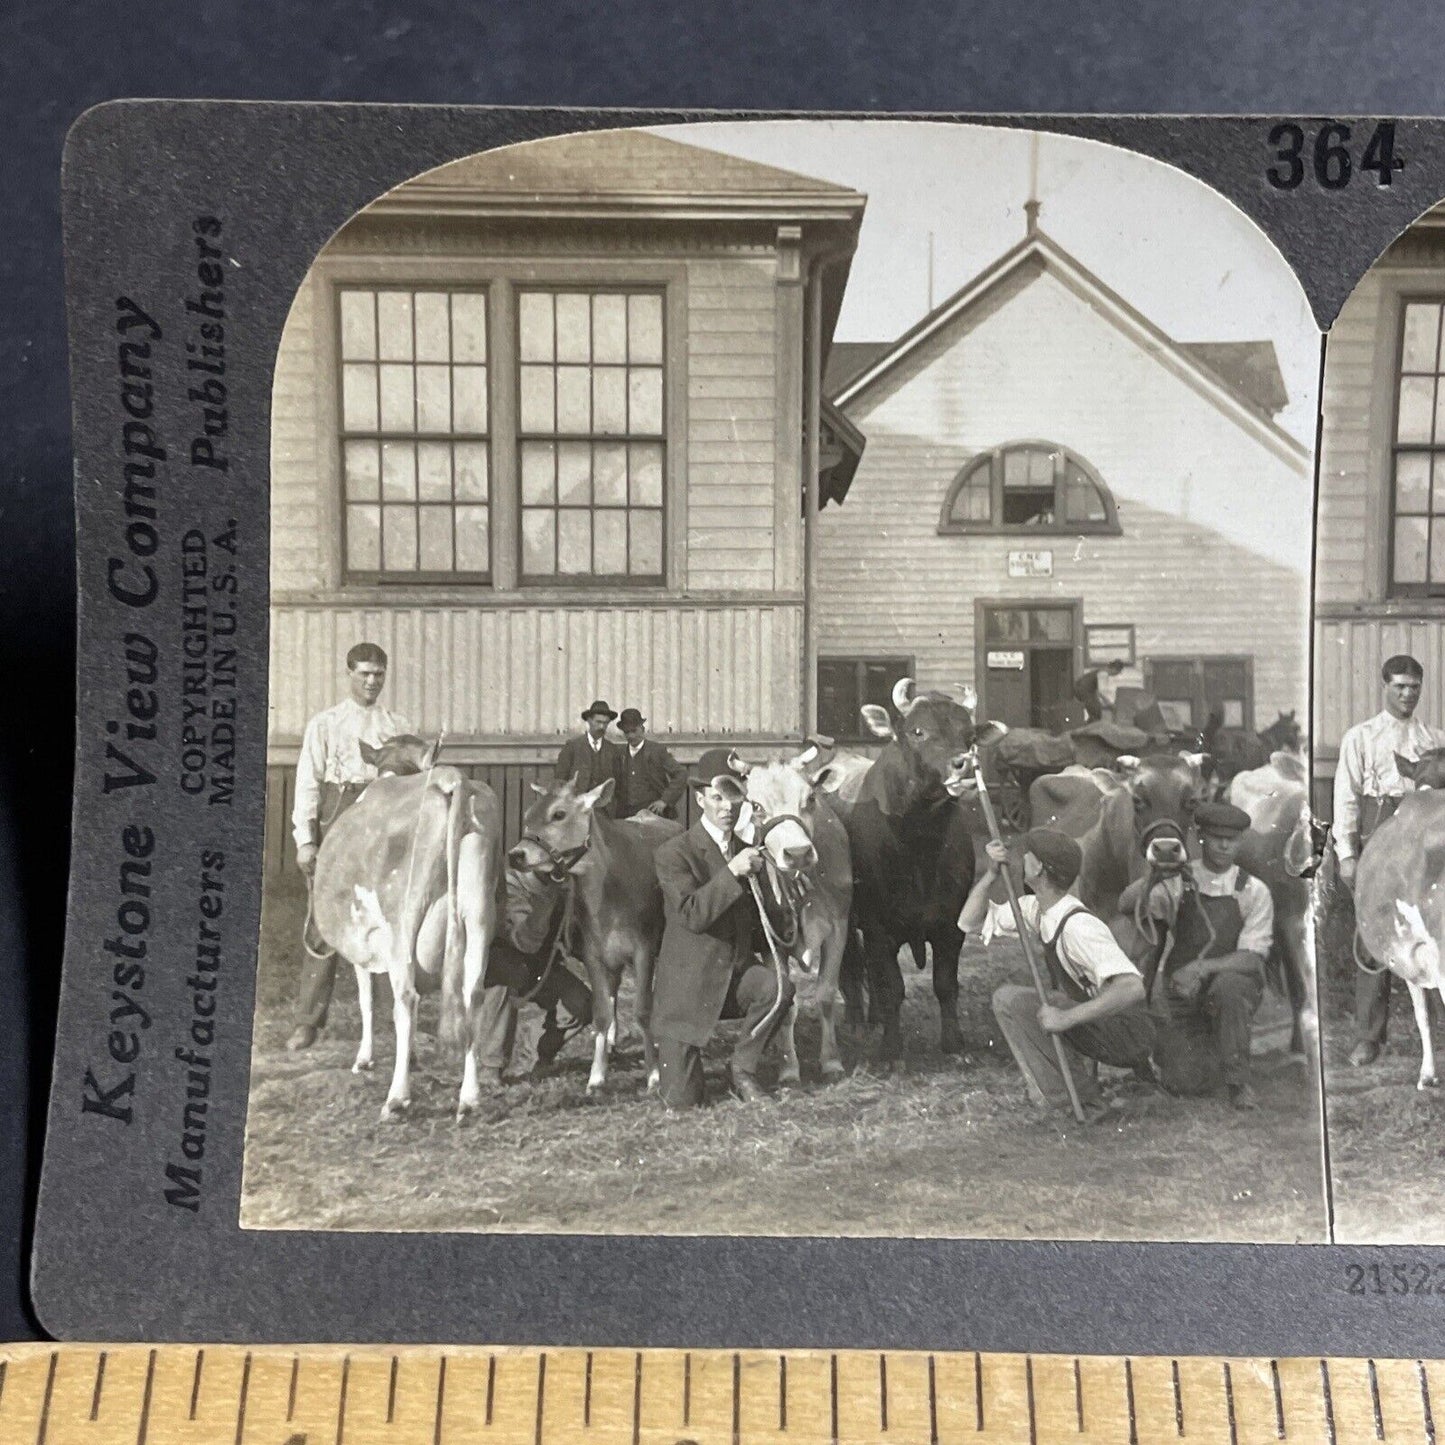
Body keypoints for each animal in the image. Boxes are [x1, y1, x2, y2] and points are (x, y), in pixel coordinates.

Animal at [307, 739, 505, 1121]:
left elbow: (368, 999)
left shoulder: (365, 941)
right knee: (473, 994)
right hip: (478, 918)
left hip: (403, 921)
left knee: (407, 999)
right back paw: (469, 1099)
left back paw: (397, 1099)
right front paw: (410, 1056)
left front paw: (365, 1059)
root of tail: (451, 779)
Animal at [508, 774, 682, 1086]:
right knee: (613, 991)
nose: (516, 854)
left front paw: (653, 1074)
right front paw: (597, 1075)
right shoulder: (593, 953)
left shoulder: (644, 948)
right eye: (527, 815)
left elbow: (643, 1010)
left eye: (559, 814)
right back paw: (611, 1041)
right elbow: (601, 1011)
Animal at [728, 751, 849, 1080]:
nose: (797, 853)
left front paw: (831, 1061)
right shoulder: (771, 941)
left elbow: (826, 995)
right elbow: (786, 1003)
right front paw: (789, 1067)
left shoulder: (839, 929)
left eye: (810, 798)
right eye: (756, 806)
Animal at [826, 676, 1005, 1063]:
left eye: (969, 734)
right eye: (918, 731)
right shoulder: (878, 928)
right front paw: (891, 1048)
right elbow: (892, 986)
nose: (964, 765)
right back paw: (857, 1022)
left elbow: (945, 984)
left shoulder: (951, 925)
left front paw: (953, 1043)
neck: (919, 846)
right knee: (850, 966)